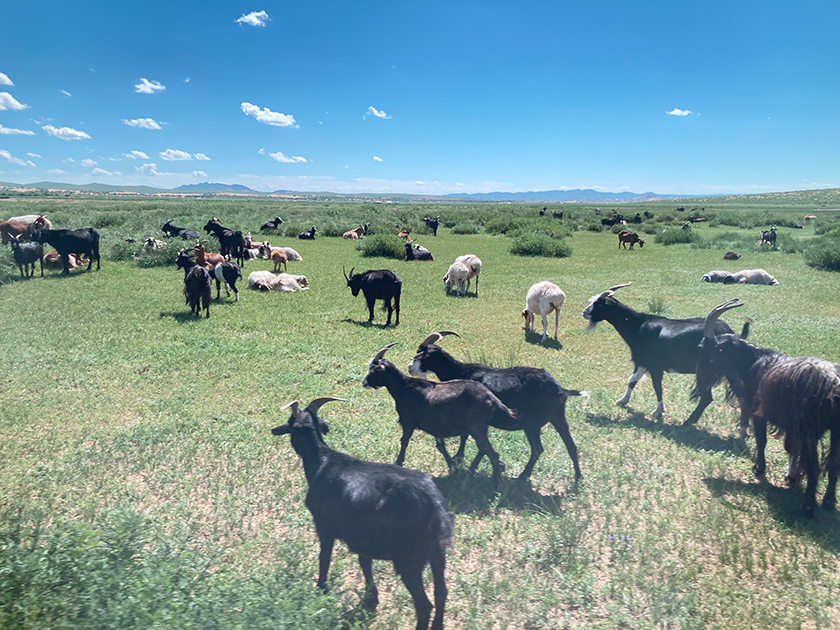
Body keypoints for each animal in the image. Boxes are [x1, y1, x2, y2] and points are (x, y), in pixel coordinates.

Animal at [272, 400, 452, 630]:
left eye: (289, 422)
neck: (322, 461)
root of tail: (437, 509)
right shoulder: (361, 535)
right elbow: (364, 561)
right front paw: (371, 597)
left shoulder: (324, 524)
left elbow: (324, 556)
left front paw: (321, 587)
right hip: (437, 552)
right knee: (441, 592)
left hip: (409, 558)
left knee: (424, 605)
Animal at [362, 346, 520, 484]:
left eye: (373, 371)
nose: (364, 382)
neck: (404, 387)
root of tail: (492, 398)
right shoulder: (436, 426)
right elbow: (440, 446)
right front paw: (453, 467)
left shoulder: (408, 422)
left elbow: (404, 441)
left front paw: (399, 462)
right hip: (479, 428)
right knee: (484, 449)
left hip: (477, 427)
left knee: (492, 453)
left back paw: (496, 483)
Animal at [406, 334, 584, 482]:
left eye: (422, 355)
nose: (409, 367)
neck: (461, 371)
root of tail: (560, 389)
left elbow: (466, 436)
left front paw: (460, 457)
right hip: (558, 416)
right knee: (570, 445)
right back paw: (578, 478)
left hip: (532, 423)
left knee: (537, 449)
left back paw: (522, 476)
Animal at [580, 282, 752, 422]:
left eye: (599, 304)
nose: (584, 313)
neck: (638, 326)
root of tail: (730, 333)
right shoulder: (642, 362)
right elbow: (632, 381)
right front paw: (622, 401)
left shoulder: (655, 366)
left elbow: (657, 386)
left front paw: (658, 411)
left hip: (706, 371)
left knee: (707, 398)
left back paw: (688, 422)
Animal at [692, 302, 840, 520]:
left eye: (704, 348)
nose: (700, 377)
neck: (754, 361)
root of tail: (833, 384)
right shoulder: (791, 427)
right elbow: (790, 448)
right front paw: (791, 476)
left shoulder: (759, 413)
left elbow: (761, 440)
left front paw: (759, 469)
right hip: (836, 431)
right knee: (833, 465)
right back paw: (828, 502)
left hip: (810, 429)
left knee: (815, 467)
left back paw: (808, 507)